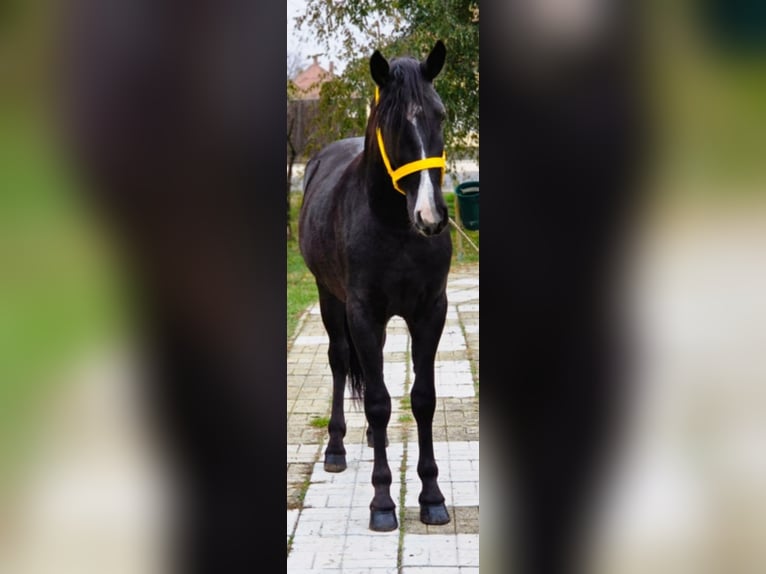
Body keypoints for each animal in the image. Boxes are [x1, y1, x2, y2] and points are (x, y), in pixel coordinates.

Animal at [298, 40, 452, 532]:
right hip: (330, 301)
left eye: (441, 115)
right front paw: (383, 502)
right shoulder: (361, 314)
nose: (431, 217)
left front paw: (432, 496)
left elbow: (422, 399)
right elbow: (381, 403)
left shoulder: (430, 311)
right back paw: (336, 449)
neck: (396, 227)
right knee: (339, 362)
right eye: (392, 122)